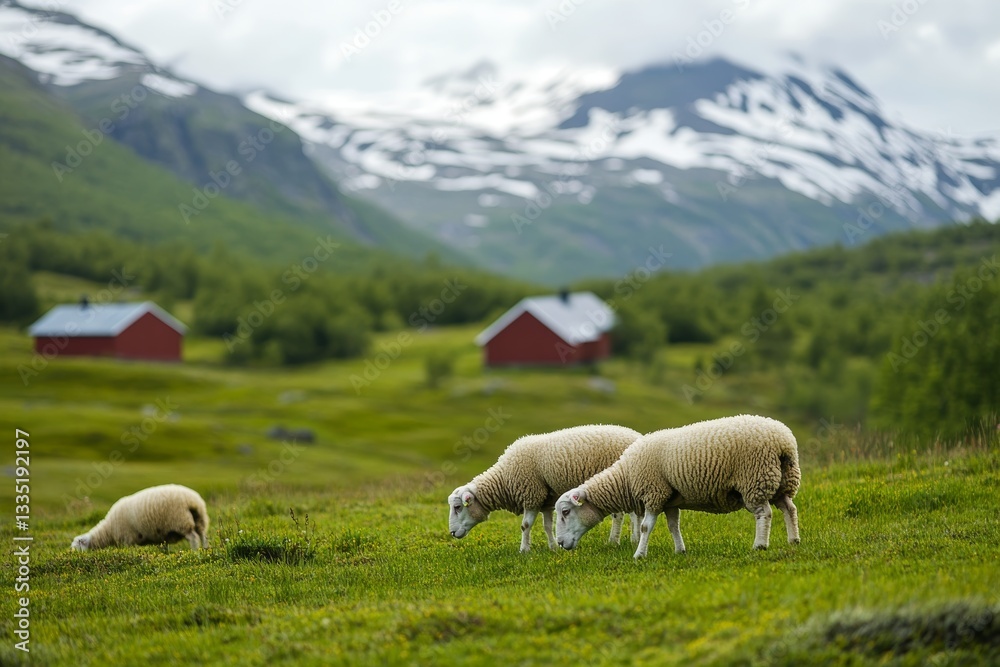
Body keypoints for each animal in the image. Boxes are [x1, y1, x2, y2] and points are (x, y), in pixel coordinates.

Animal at [71, 484, 209, 552]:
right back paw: (206, 549)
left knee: (193, 537)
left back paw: (195, 551)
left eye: (77, 547)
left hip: (181, 521)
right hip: (199, 519)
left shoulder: (127, 539)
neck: (108, 531)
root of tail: (192, 500)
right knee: (203, 535)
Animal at [448, 424, 643, 552]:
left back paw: (615, 541)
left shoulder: (531, 494)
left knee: (619, 515)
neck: (504, 479)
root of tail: (636, 436)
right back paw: (634, 539)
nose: (451, 533)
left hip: (614, 482)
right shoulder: (546, 500)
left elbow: (525, 525)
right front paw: (553, 547)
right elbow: (547, 526)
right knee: (633, 513)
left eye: (457, 507)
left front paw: (524, 550)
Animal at [555, 414, 800, 558]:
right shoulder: (670, 499)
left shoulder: (653, 492)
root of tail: (784, 441)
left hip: (755, 478)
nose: (559, 543)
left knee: (764, 513)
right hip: (781, 480)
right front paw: (680, 550)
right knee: (789, 508)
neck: (626, 477)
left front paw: (639, 555)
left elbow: (645, 527)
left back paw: (760, 545)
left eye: (566, 512)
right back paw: (794, 540)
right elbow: (674, 526)